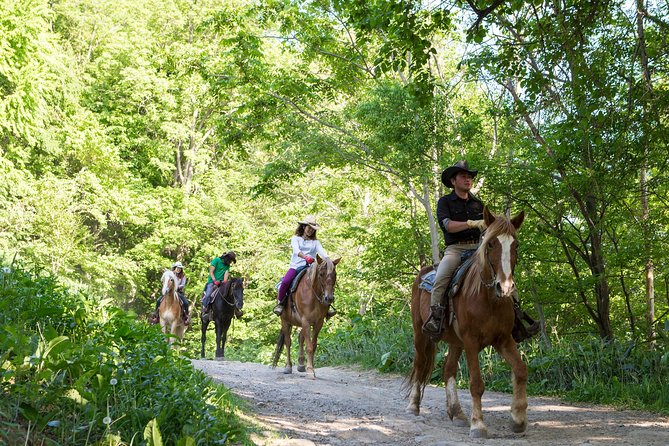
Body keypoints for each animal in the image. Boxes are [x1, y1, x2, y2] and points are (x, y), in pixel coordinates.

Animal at [404, 207, 524, 438]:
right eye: (491, 244)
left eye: (515, 244)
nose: (505, 287)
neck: (487, 298)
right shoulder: (471, 341)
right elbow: (476, 384)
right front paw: (478, 425)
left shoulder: (503, 339)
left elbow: (521, 371)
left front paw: (518, 420)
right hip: (420, 334)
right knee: (420, 364)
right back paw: (413, 406)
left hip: (454, 341)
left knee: (448, 370)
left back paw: (457, 413)